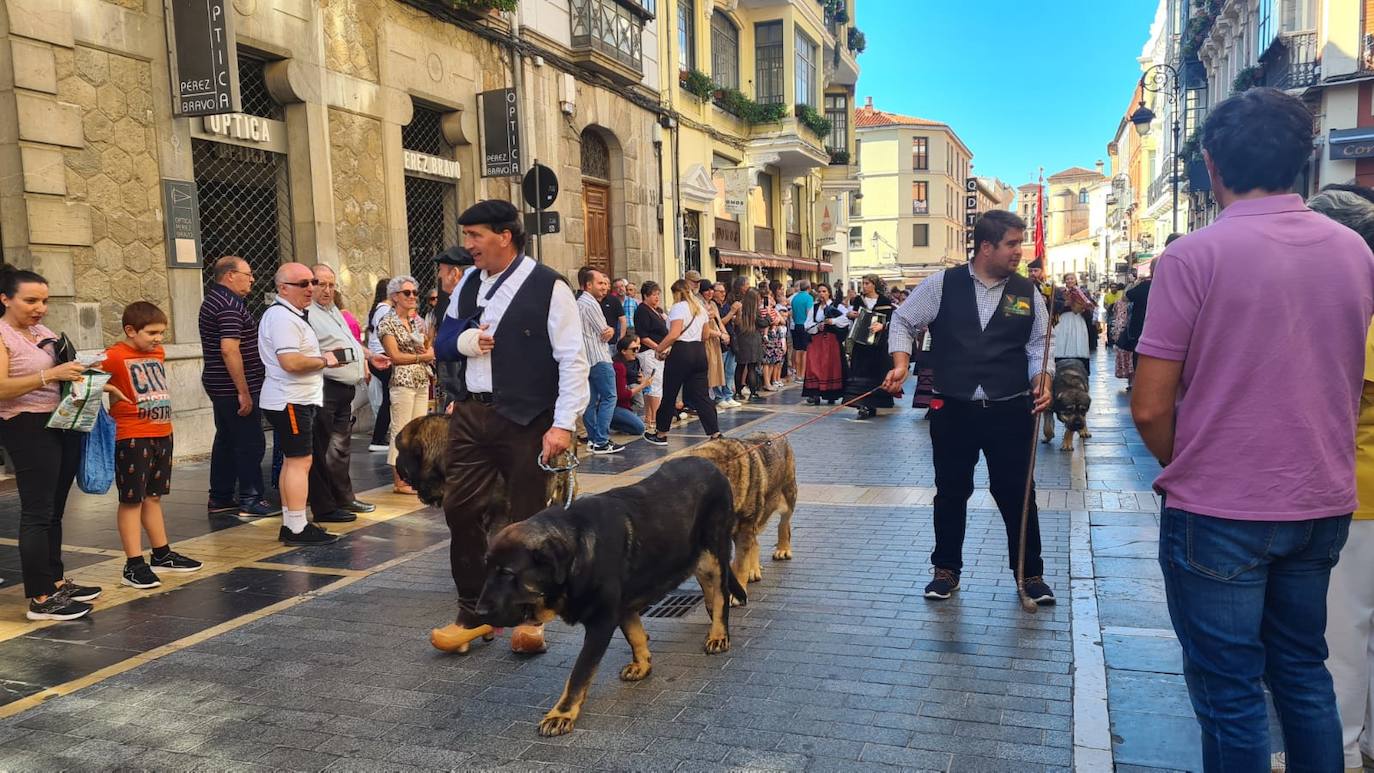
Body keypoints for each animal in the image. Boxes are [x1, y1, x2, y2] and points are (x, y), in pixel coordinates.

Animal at [475, 455, 752, 741]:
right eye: (487, 568)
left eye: (508, 573)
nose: (478, 612)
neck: (577, 554)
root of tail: (710, 464)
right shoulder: (623, 607)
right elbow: (635, 636)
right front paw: (642, 665)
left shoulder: (601, 621)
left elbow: (579, 673)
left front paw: (561, 714)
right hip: (692, 556)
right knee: (709, 589)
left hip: (714, 552)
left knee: (721, 596)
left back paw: (718, 634)